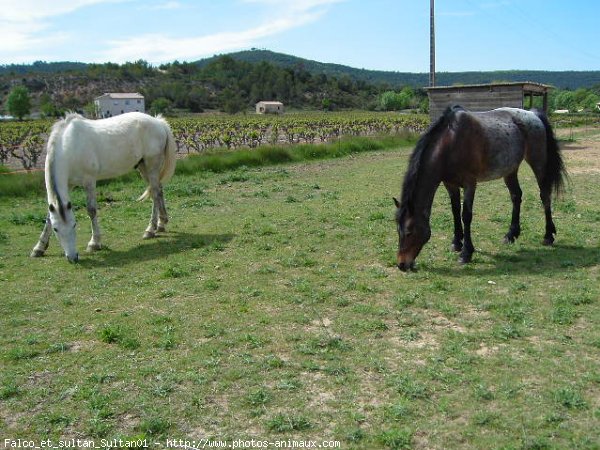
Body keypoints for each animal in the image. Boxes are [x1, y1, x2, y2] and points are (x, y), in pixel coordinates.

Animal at [31, 110, 176, 262]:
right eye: (56, 229)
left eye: (74, 225)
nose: (73, 257)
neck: (69, 147)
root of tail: (158, 122)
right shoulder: (68, 185)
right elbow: (48, 217)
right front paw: (39, 248)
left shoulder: (89, 181)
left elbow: (91, 210)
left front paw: (94, 243)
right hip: (143, 168)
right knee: (158, 191)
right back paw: (161, 224)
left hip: (151, 166)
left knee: (155, 194)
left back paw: (150, 230)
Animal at [394, 105, 568, 270]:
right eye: (398, 230)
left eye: (409, 232)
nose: (402, 264)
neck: (451, 142)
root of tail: (533, 114)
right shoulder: (450, 184)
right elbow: (455, 211)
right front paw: (456, 242)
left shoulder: (470, 183)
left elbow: (466, 215)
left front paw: (466, 253)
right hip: (510, 170)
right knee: (516, 196)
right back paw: (511, 234)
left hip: (538, 163)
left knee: (544, 195)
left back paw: (548, 236)